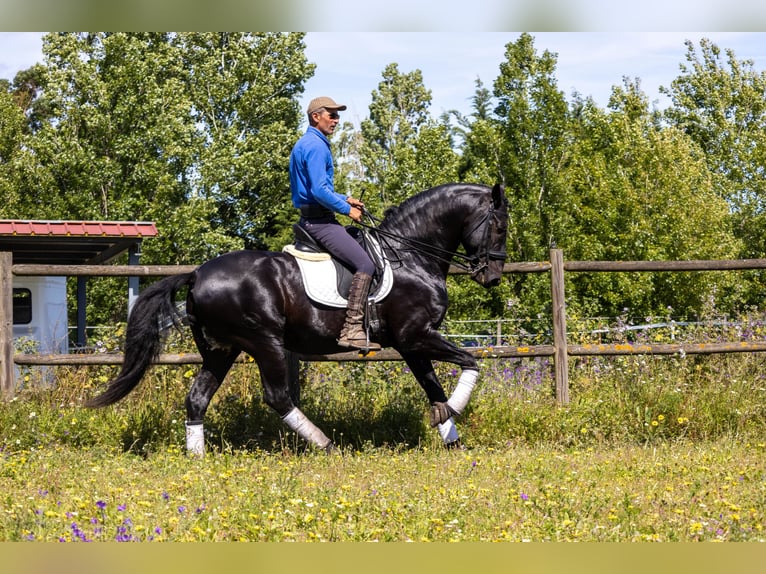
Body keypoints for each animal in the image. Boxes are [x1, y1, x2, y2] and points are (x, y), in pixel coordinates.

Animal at [87, 183, 510, 454]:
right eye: (500, 226)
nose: (492, 276)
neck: (410, 255)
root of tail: (196, 274)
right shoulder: (416, 335)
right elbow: (471, 362)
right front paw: (454, 411)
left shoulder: (410, 343)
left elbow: (432, 385)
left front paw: (451, 436)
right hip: (264, 342)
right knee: (277, 396)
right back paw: (325, 444)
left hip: (221, 350)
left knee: (197, 399)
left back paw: (198, 459)